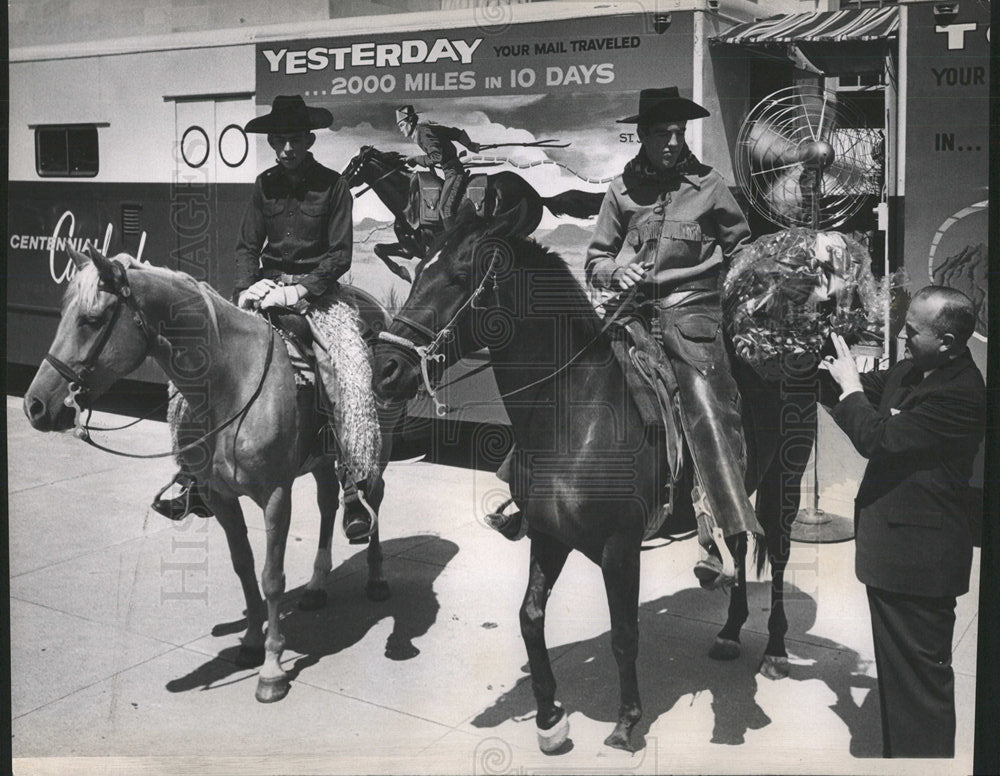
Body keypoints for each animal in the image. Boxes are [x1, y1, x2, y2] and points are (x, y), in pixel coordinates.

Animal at [23, 247, 400, 704]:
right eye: (63, 313)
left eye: (92, 320)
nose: (35, 405)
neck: (231, 383)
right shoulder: (219, 495)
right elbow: (244, 567)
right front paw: (251, 643)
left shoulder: (276, 495)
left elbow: (271, 577)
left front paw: (272, 670)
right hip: (318, 458)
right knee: (328, 501)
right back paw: (316, 585)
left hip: (372, 437)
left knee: (372, 493)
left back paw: (376, 577)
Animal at [342, 144, 600, 280]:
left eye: (354, 162)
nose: (342, 179)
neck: (407, 199)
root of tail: (536, 196)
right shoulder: (410, 248)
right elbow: (378, 248)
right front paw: (403, 272)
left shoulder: (427, 247)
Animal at [372, 212, 816, 752]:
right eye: (415, 273)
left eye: (458, 278)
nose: (384, 368)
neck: (576, 413)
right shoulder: (548, 536)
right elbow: (529, 618)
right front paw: (549, 719)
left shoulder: (619, 547)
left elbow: (623, 634)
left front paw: (626, 722)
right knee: (737, 542)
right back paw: (730, 633)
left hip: (786, 478)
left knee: (778, 554)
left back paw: (774, 649)